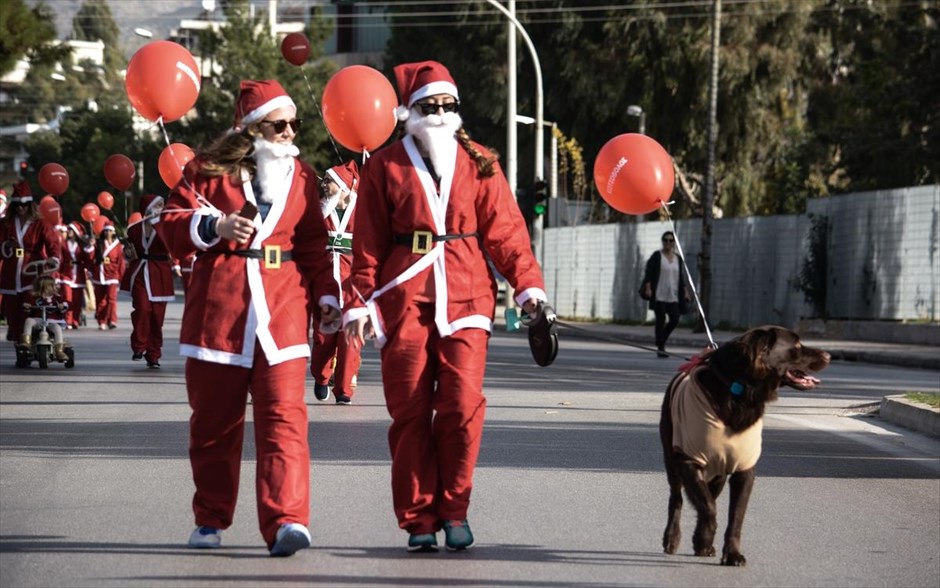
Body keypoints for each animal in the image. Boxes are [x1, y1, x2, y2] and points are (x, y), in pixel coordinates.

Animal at [660, 326, 828, 564]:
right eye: (796, 345)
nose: (829, 355)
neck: (739, 390)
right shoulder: (689, 460)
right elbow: (708, 508)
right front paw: (704, 540)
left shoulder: (744, 469)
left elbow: (735, 516)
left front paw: (730, 553)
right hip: (672, 459)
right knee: (677, 498)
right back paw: (672, 538)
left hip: (718, 474)